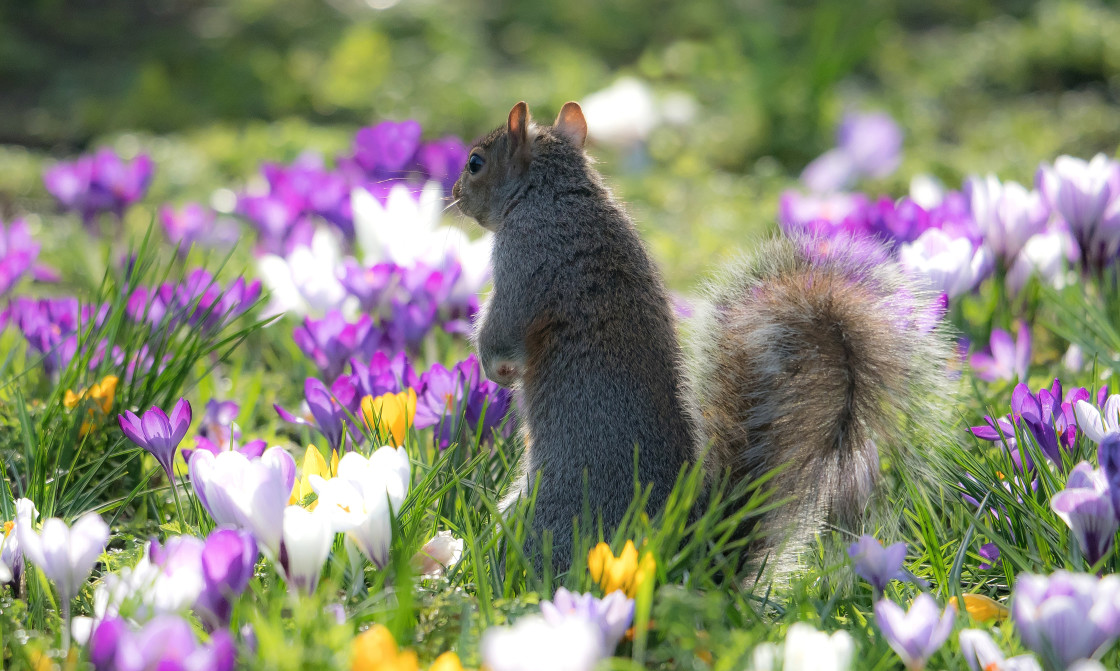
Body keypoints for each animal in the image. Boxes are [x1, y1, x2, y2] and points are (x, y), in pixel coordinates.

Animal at [450, 100, 958, 578]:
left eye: (475, 162)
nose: (453, 196)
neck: (557, 193)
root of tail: (688, 552)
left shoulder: (525, 258)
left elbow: (502, 329)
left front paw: (496, 371)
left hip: (543, 518)